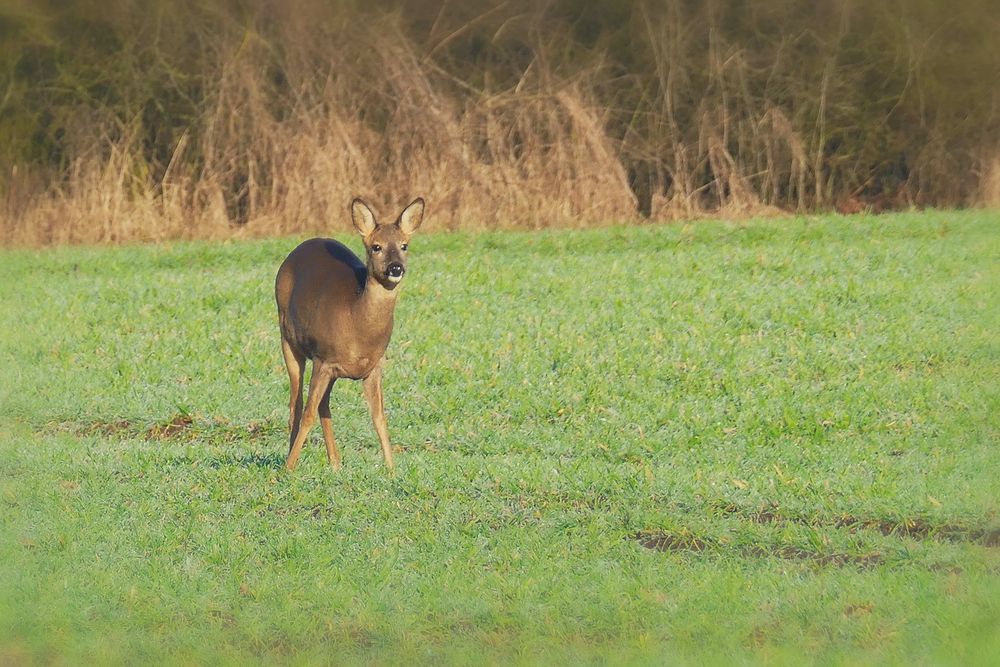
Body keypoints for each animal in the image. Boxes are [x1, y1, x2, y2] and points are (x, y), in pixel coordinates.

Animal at [274, 197, 426, 470]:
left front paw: (391, 469)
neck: (355, 320)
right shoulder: (323, 359)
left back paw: (335, 462)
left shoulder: (374, 366)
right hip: (288, 339)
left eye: (404, 245)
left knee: (323, 404)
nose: (395, 268)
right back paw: (293, 456)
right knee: (297, 403)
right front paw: (288, 469)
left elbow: (379, 416)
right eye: (376, 247)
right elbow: (308, 413)